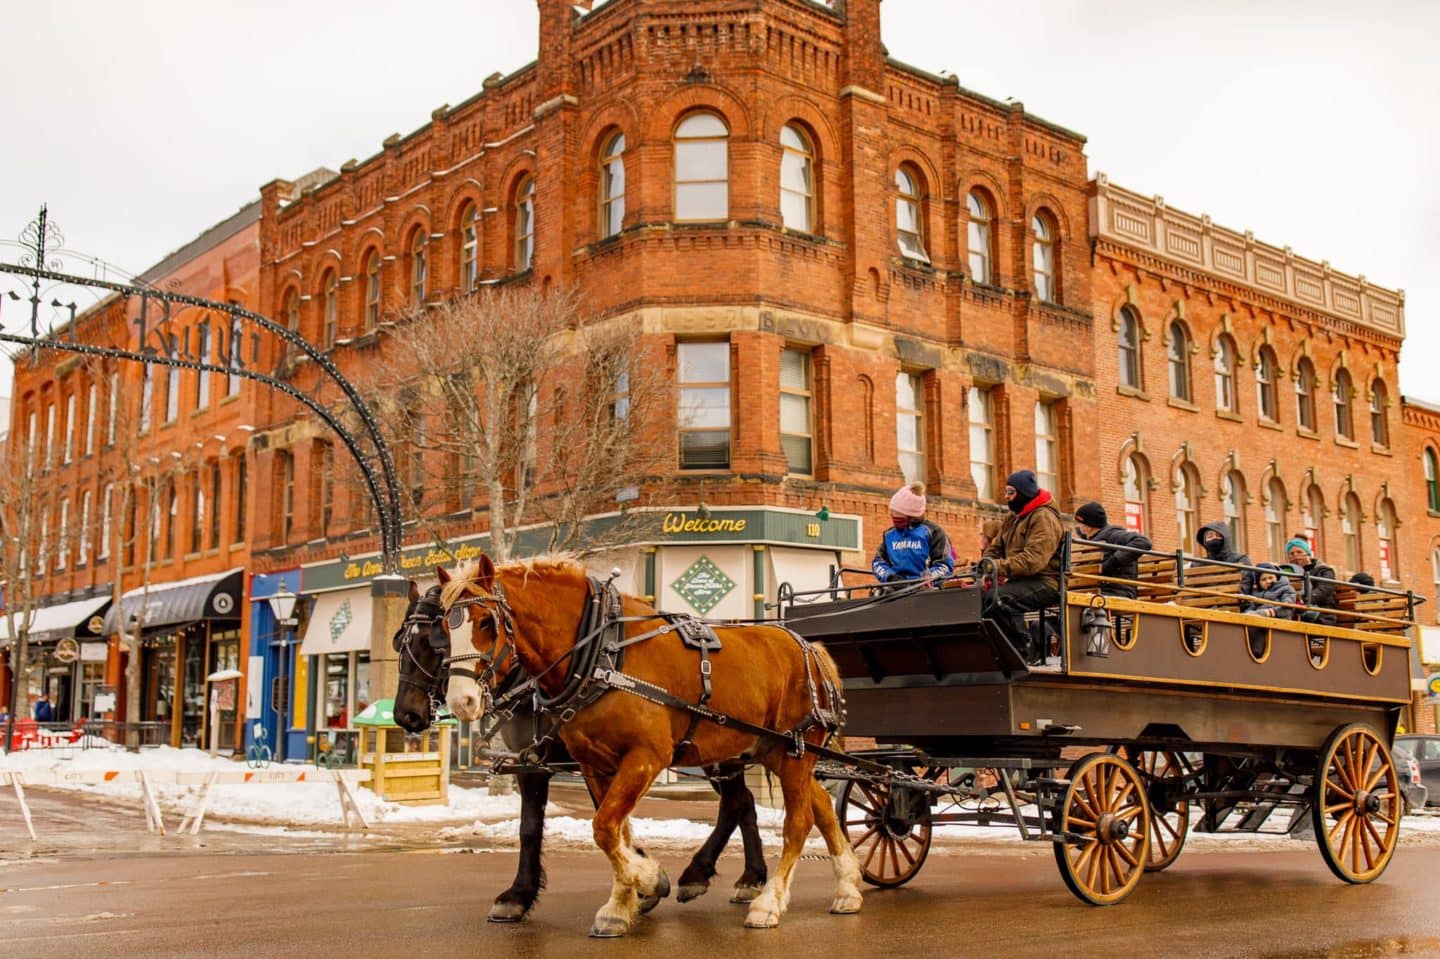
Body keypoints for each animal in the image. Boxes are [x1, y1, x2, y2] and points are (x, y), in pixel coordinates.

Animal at [437, 552, 858, 933]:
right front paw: (623, 904)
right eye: (444, 627)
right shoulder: (594, 763)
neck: (602, 654)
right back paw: (848, 887)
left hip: (792, 751)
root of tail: (812, 648)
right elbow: (615, 831)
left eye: (487, 622)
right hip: (772, 752)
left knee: (797, 821)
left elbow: (604, 827)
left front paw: (647, 881)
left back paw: (767, 902)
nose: (461, 700)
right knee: (820, 807)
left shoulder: (645, 757)